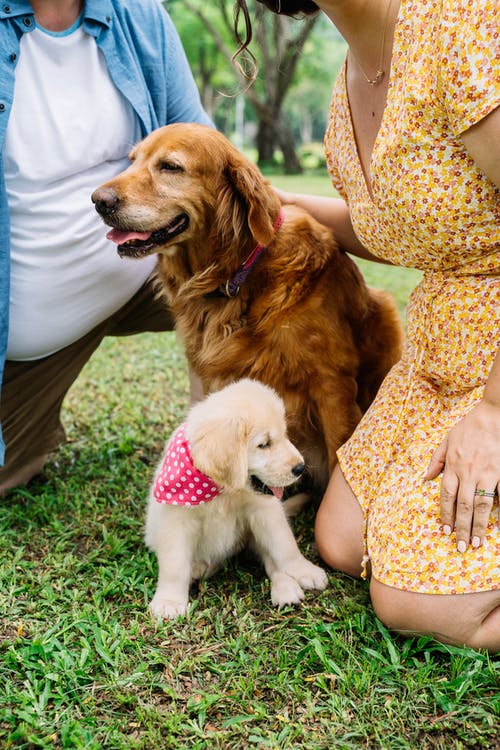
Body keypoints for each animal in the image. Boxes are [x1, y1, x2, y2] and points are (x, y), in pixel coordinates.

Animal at [94, 123, 404, 494]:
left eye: (170, 166)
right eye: (132, 160)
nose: (98, 201)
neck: (235, 276)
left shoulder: (332, 384)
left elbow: (336, 453)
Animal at [144, 378, 328, 620]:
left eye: (284, 434)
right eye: (264, 444)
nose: (300, 467)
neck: (222, 491)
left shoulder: (264, 511)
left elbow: (285, 545)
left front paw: (304, 570)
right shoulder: (176, 522)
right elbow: (174, 565)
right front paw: (169, 601)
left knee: (271, 560)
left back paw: (285, 589)